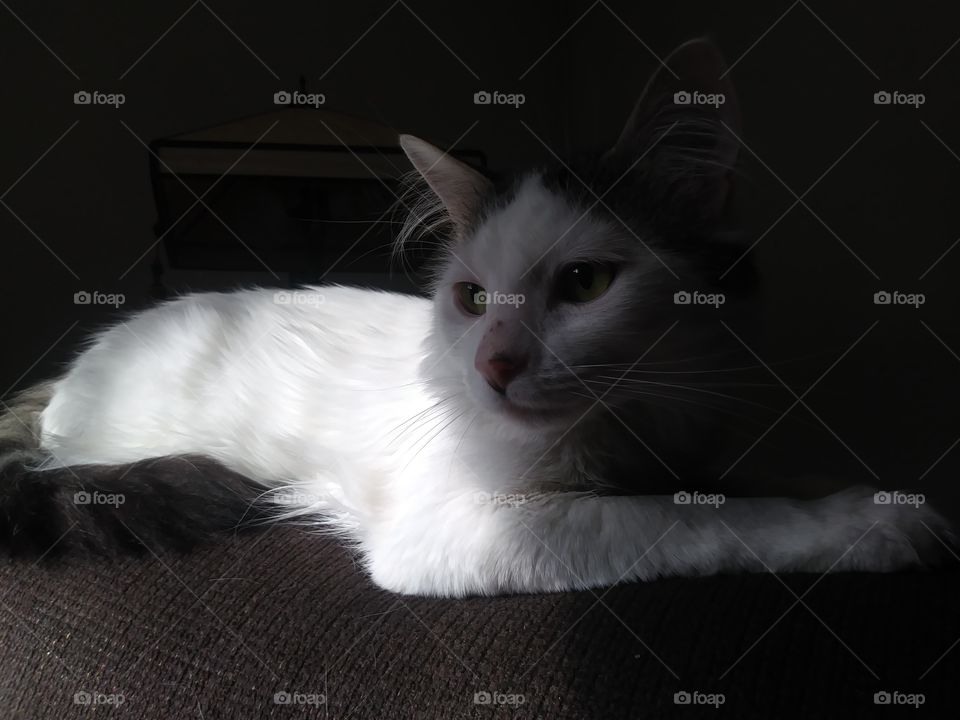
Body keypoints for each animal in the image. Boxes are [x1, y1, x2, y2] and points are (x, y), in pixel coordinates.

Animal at [0, 40, 948, 600]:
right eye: (473, 298)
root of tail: (73, 367)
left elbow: (744, 482)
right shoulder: (468, 525)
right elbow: (690, 518)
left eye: (585, 282)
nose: (493, 365)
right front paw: (864, 522)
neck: (636, 424)